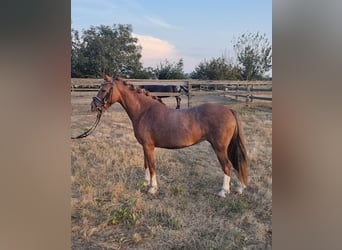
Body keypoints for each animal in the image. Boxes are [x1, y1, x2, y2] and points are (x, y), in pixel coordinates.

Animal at [91, 75, 248, 196]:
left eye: (103, 90)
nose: (93, 106)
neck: (144, 111)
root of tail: (229, 110)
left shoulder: (149, 147)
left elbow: (152, 166)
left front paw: (152, 188)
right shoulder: (145, 146)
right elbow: (146, 164)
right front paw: (145, 183)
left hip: (219, 147)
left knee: (227, 166)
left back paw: (223, 191)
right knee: (236, 163)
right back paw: (239, 188)